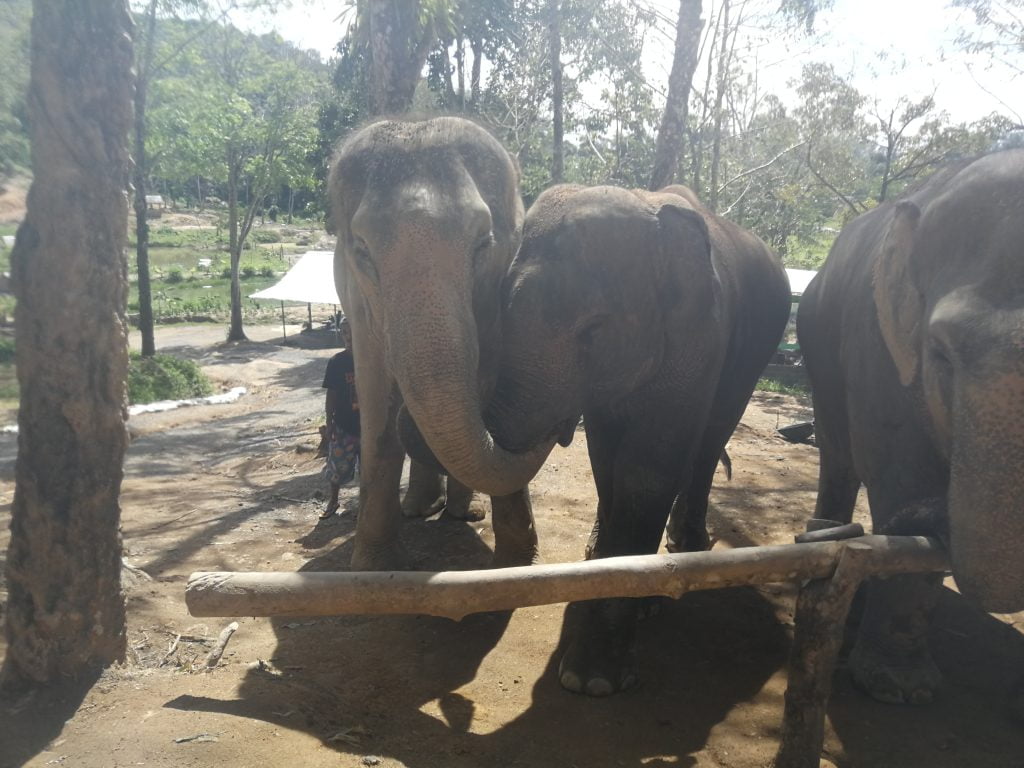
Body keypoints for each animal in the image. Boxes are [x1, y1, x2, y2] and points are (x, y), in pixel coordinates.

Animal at [329, 115, 557, 573]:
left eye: (484, 243)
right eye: (361, 250)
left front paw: (517, 564)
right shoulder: (359, 303)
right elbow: (376, 404)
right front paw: (375, 568)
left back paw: (460, 513)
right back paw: (420, 509)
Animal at [483, 183, 786, 696]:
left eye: (594, 329)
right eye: (498, 308)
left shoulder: (698, 341)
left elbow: (646, 473)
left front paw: (593, 680)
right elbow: (606, 462)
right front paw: (605, 574)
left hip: (753, 355)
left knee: (710, 439)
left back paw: (686, 549)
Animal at [798, 147, 1024, 708]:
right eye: (941, 355)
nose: (934, 516)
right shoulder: (879, 349)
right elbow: (900, 473)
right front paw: (897, 690)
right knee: (839, 456)